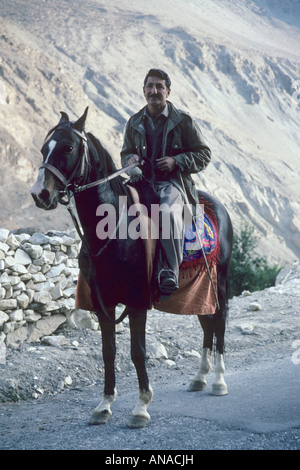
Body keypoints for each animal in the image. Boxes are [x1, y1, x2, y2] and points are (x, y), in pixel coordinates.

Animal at [31, 108, 234, 428]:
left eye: (68, 148)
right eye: (44, 148)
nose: (40, 193)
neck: (112, 227)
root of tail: (218, 207)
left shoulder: (137, 301)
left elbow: (137, 352)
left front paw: (141, 407)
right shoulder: (103, 303)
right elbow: (108, 352)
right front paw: (104, 405)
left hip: (221, 279)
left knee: (220, 319)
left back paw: (218, 381)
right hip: (200, 283)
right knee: (206, 320)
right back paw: (200, 377)